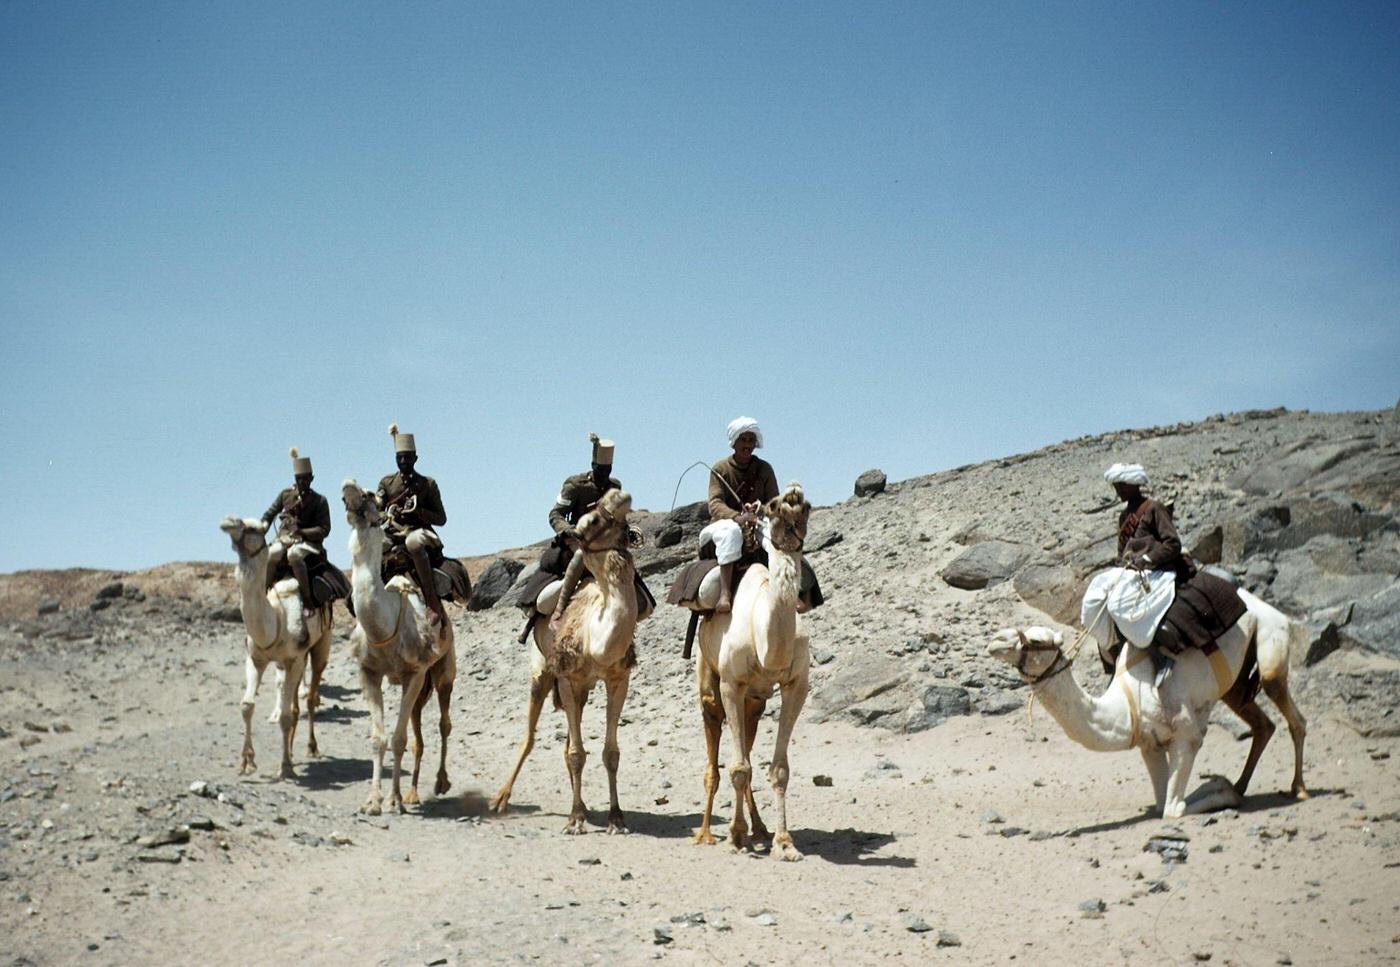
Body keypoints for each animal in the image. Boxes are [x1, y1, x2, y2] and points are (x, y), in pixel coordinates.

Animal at [218, 514, 333, 778]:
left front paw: (286, 767)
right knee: (293, 703)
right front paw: (246, 761)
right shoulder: (256, 659)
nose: (227, 521)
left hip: (321, 645)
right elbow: (247, 705)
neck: (276, 620)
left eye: (252, 527)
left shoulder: (294, 659)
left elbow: (286, 717)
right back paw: (290, 749)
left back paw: (311, 748)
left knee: (310, 696)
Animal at [341, 481, 456, 811]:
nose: (346, 488)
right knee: (418, 730)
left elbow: (398, 739)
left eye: (369, 495)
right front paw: (373, 800)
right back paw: (413, 792)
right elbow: (378, 738)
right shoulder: (368, 673)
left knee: (443, 723)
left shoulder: (414, 674)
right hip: (420, 687)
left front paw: (392, 800)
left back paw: (440, 783)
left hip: (443, 670)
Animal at [490, 486, 641, 834]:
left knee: (568, 742)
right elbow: (575, 754)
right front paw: (575, 820)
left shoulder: (618, 679)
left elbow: (610, 752)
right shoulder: (567, 678)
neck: (596, 638)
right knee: (532, 737)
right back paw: (501, 800)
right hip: (544, 674)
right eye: (594, 518)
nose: (619, 492)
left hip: (582, 689)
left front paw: (616, 818)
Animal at [688, 484, 812, 862]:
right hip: (709, 677)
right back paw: (707, 833)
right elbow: (739, 768)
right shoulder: (732, 682)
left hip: (755, 701)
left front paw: (784, 842)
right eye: (773, 506)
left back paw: (758, 829)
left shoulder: (796, 684)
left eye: (807, 506)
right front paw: (734, 836)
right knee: (715, 742)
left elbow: (779, 769)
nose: (793, 496)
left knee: (748, 738)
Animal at [991, 584, 1304, 822]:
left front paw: (1223, 791)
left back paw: (1298, 788)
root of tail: (1269, 607)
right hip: (1235, 685)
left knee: (1289, 709)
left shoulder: (1186, 736)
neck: (1127, 705)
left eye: (1035, 639)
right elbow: (1162, 803)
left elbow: (1173, 809)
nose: (995, 640)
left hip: (1270, 640)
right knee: (1263, 725)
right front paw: (1224, 786)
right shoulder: (1149, 744)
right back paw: (1242, 783)